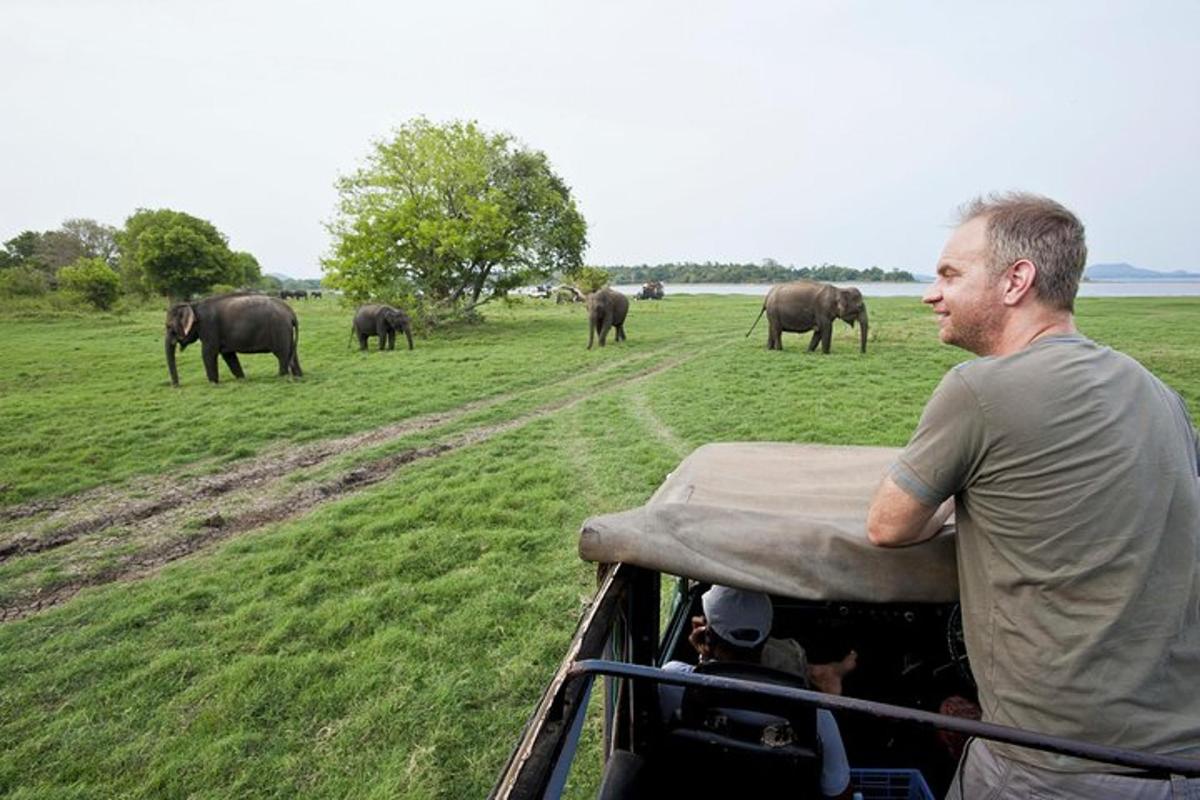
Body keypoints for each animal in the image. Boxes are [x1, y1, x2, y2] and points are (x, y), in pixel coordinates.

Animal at [165, 292, 300, 386]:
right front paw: (242, 379)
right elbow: (228, 355)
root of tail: (291, 312)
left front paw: (213, 383)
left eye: (169, 327)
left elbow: (208, 353)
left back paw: (283, 378)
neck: (193, 305)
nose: (176, 386)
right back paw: (299, 376)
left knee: (282, 356)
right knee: (292, 354)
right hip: (287, 333)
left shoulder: (209, 327)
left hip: (280, 330)